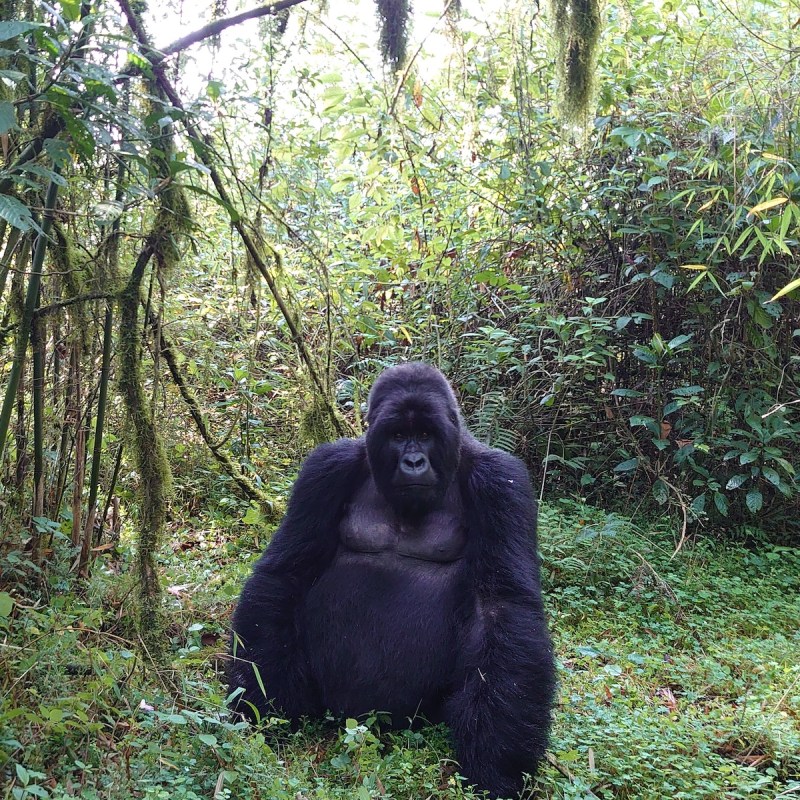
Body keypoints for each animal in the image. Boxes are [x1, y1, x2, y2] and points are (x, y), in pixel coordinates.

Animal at [230, 364, 556, 800]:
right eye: (399, 435)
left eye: (426, 434)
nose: (413, 461)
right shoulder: (325, 468)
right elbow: (285, 574)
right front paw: (261, 705)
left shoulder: (501, 482)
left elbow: (504, 606)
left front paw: (498, 768)